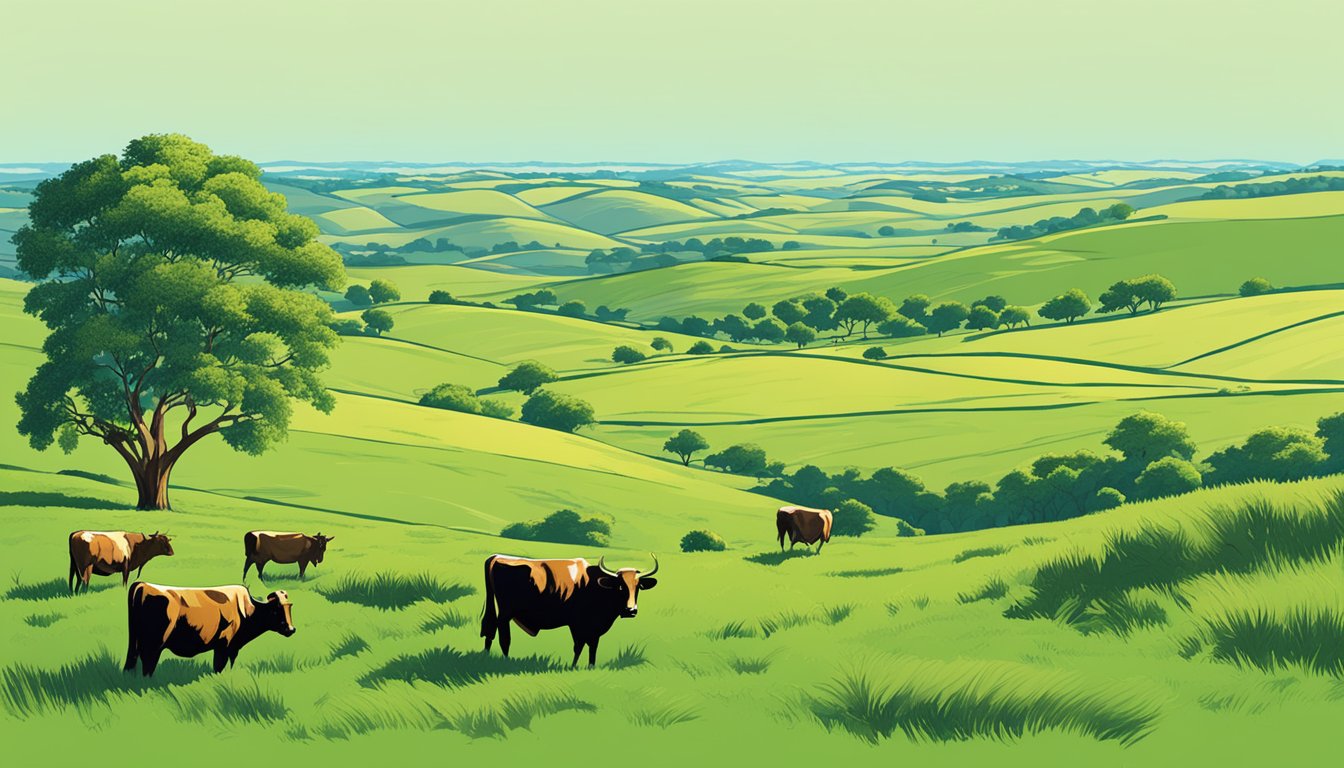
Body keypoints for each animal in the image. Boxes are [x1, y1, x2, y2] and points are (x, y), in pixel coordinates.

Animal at [121, 586, 297, 675]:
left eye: (290, 607)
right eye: (276, 610)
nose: (291, 629)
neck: (247, 610)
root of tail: (143, 585)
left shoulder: (232, 648)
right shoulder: (223, 646)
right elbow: (219, 667)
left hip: (135, 643)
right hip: (153, 645)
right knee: (148, 666)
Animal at [483, 554, 661, 667]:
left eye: (637, 587)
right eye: (620, 586)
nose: (630, 610)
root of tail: (497, 557)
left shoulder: (594, 628)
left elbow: (593, 646)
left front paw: (591, 666)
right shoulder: (577, 624)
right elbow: (579, 646)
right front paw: (573, 666)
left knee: (490, 630)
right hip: (506, 613)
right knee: (504, 637)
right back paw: (506, 661)